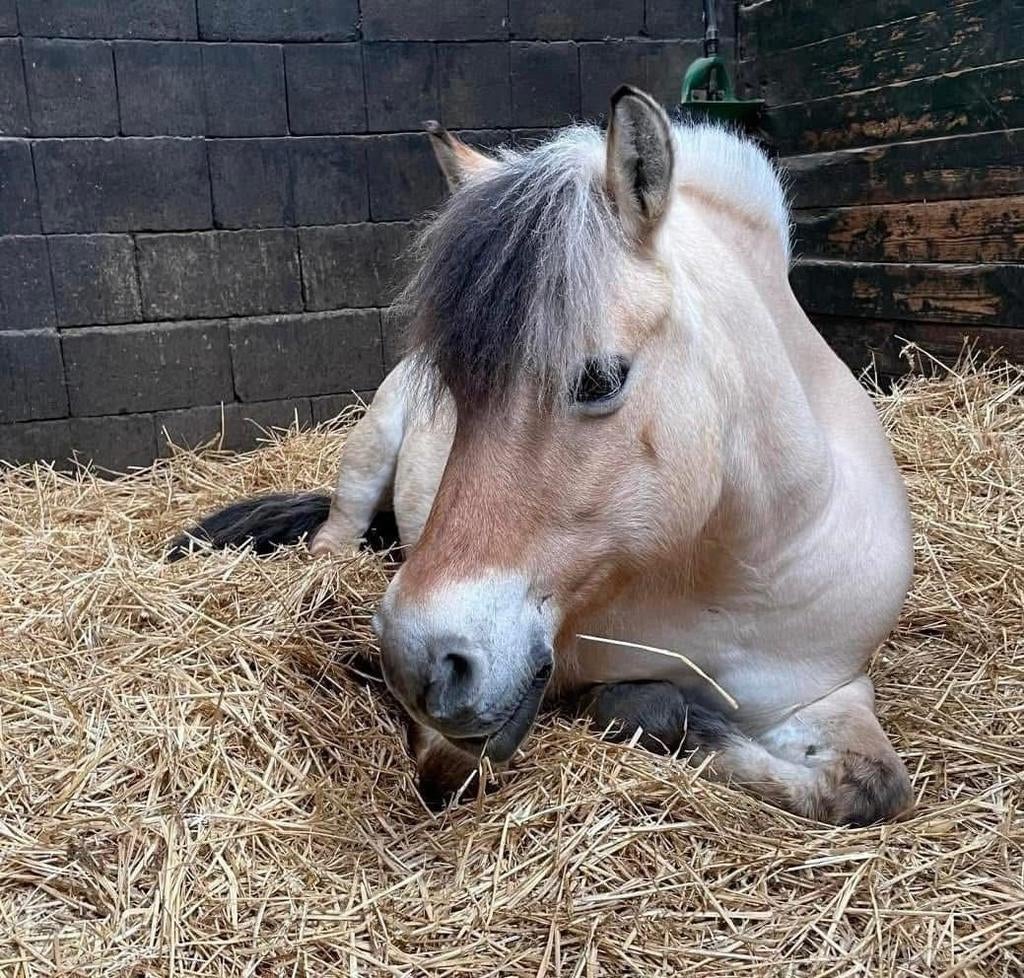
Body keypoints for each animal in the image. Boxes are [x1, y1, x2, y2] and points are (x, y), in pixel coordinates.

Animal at [170, 86, 915, 825]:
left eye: (600, 380)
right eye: (453, 386)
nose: (415, 661)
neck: (716, 575)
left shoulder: (825, 691)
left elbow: (868, 787)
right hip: (366, 458)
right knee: (333, 543)